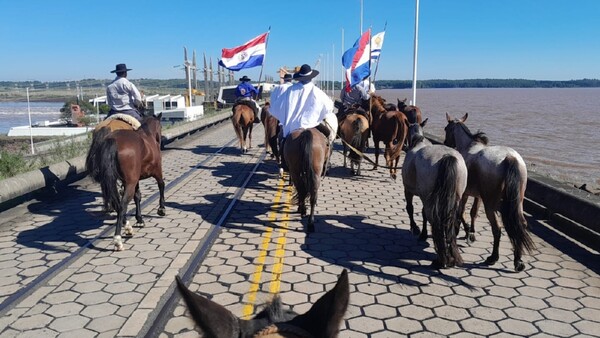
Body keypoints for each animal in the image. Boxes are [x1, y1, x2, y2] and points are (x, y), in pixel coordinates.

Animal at [85, 113, 165, 251]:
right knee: (122, 205)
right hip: (130, 183)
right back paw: (118, 239)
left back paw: (126, 227)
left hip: (117, 181)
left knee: (117, 203)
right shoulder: (156, 171)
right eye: (160, 127)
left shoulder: (135, 180)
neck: (147, 137)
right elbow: (161, 185)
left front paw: (140, 219)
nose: (159, 140)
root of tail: (112, 140)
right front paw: (161, 208)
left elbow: (137, 196)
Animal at [404, 119, 468, 270]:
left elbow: (411, 209)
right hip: (455, 199)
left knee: (435, 221)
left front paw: (417, 229)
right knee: (451, 221)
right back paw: (452, 256)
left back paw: (442, 260)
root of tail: (448, 157)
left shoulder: (409, 190)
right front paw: (422, 233)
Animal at [442, 113, 532, 272]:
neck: (469, 146)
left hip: (490, 204)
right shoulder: (478, 196)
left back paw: (493, 257)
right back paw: (518, 260)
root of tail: (510, 158)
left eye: (446, 128)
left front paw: (464, 231)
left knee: (497, 229)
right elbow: (473, 213)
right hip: (518, 201)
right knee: (521, 224)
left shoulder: (465, 194)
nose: (446, 143)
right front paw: (470, 232)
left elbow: (461, 213)